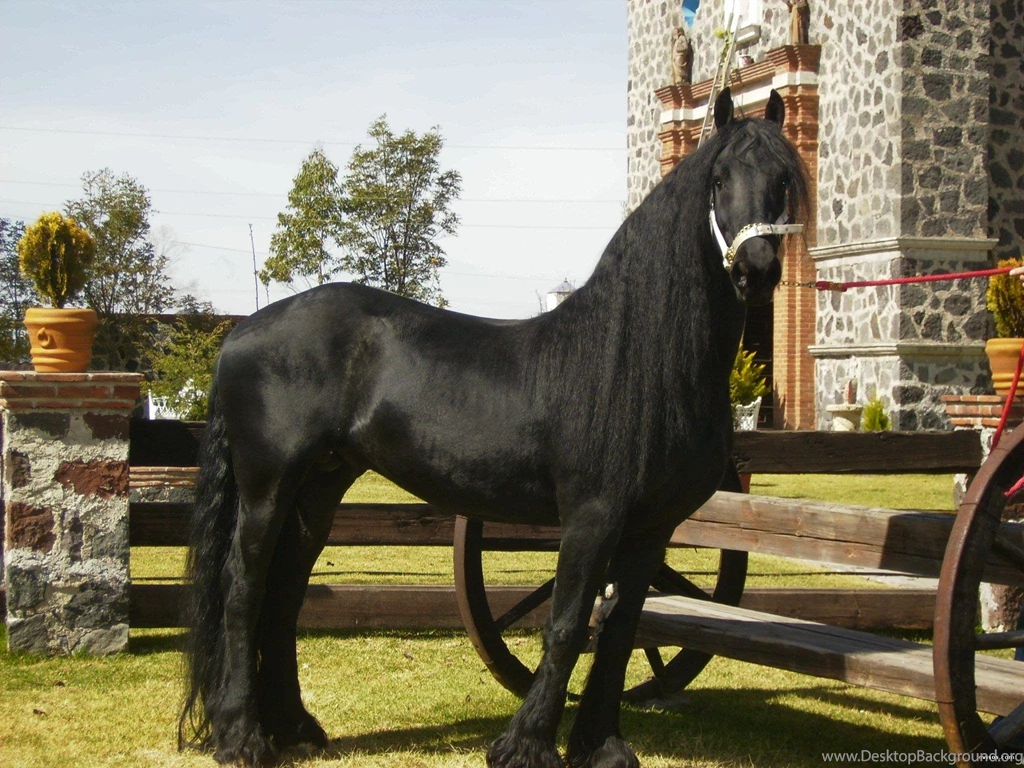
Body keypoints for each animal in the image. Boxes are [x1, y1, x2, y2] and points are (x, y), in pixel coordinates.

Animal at [178, 87, 808, 768]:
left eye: (783, 179)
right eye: (719, 180)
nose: (756, 270)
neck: (639, 361)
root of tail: (242, 331)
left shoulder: (650, 529)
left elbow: (620, 629)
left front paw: (603, 745)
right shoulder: (592, 517)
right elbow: (567, 625)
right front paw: (524, 744)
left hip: (319, 487)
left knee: (284, 594)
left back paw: (295, 727)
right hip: (268, 485)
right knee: (243, 589)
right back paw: (242, 736)